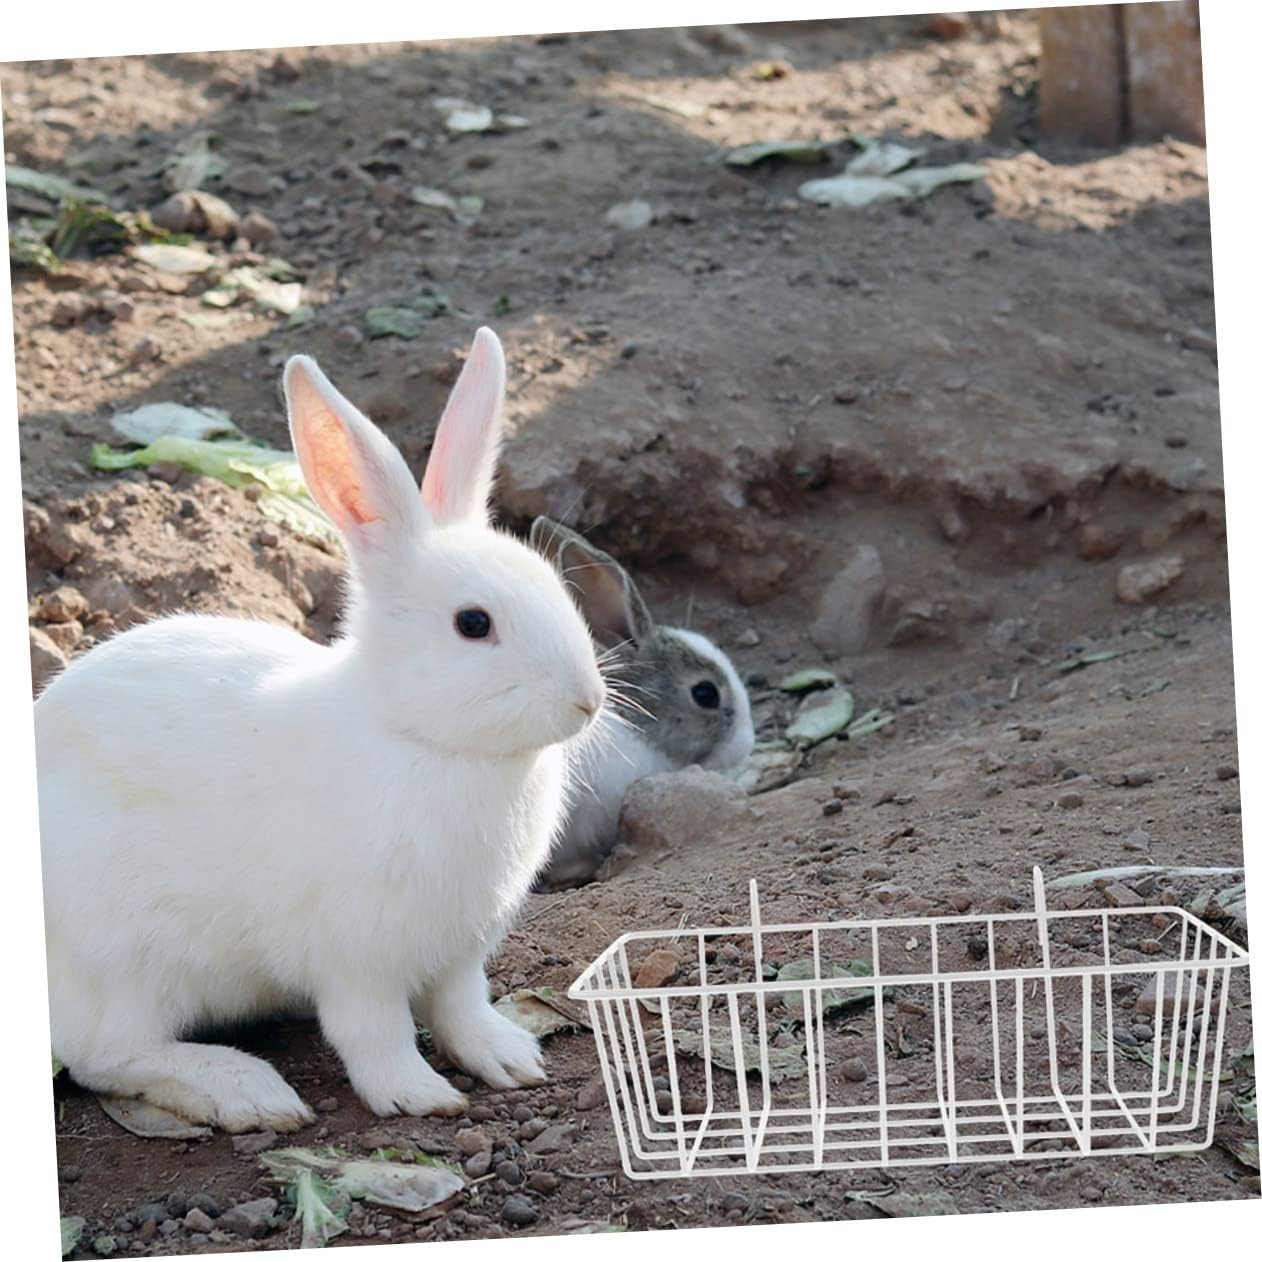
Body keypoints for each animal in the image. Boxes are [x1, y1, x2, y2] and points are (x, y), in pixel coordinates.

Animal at [35, 328, 607, 1133]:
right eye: (474, 624)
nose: (588, 701)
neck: (417, 737)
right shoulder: (356, 958)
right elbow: (375, 1030)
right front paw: (417, 1094)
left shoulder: (460, 950)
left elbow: (461, 1009)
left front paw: (510, 1060)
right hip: (124, 958)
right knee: (105, 1054)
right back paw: (247, 1092)